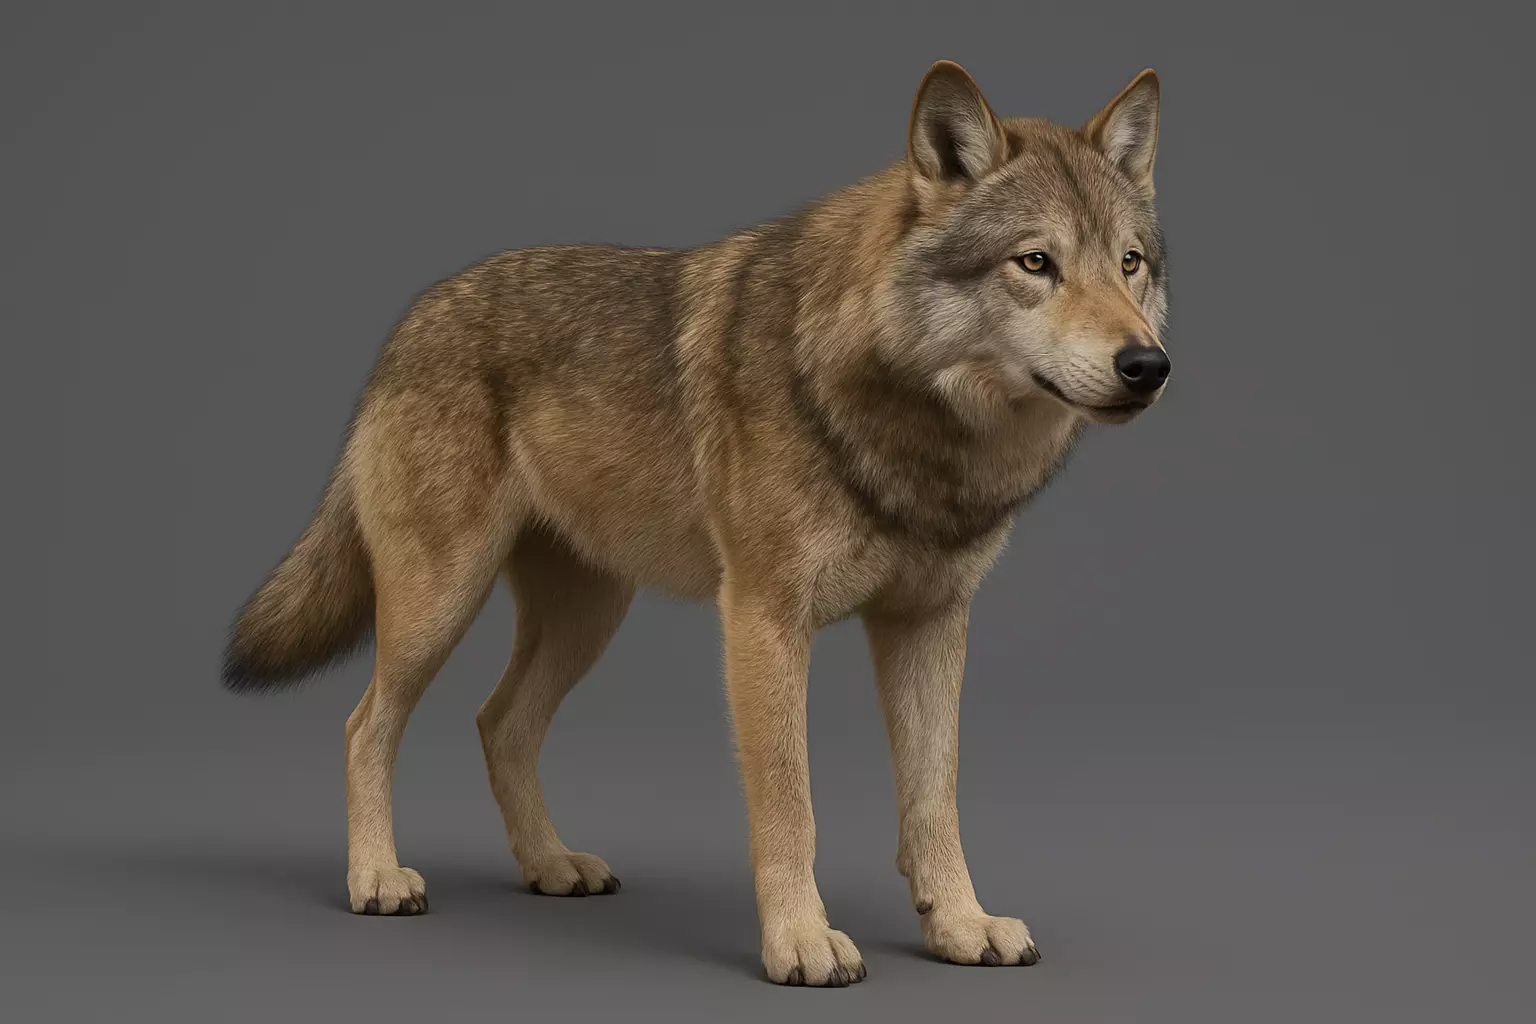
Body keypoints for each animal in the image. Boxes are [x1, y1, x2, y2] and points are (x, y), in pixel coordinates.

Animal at [222, 60, 1171, 986]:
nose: (1148, 365)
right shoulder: (763, 621)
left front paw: (962, 926)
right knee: (366, 726)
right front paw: (802, 942)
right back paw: (377, 879)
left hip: (587, 619)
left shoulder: (931, 624)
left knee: (500, 725)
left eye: (1129, 264)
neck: (914, 432)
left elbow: (935, 798)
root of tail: (409, 321)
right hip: (440, 605)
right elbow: (791, 806)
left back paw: (552, 866)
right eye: (1036, 262)